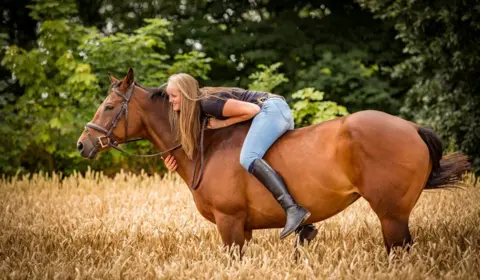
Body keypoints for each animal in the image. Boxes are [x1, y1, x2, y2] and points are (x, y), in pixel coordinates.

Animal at [78, 69, 468, 255]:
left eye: (109, 106)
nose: (83, 144)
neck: (206, 148)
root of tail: (412, 127)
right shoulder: (243, 229)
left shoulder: (230, 224)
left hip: (392, 216)